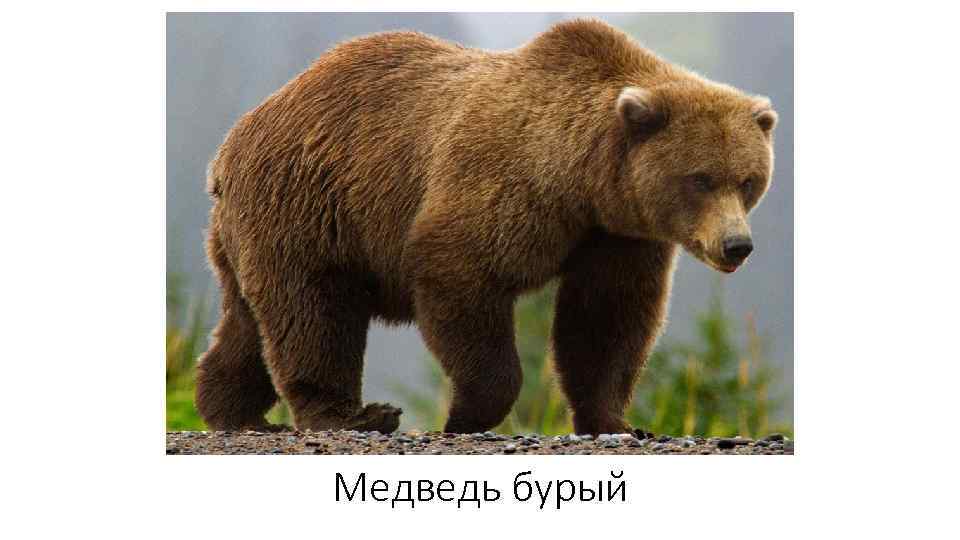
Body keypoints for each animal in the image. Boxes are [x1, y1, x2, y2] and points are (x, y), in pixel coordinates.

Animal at [194, 19, 777, 436]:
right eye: (700, 178)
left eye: (748, 180)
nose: (737, 245)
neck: (582, 180)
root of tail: (231, 144)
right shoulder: (504, 184)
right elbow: (461, 273)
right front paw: (466, 414)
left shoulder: (616, 235)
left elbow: (607, 319)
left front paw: (618, 421)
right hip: (310, 203)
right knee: (313, 310)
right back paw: (354, 414)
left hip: (252, 229)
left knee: (248, 320)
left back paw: (230, 409)